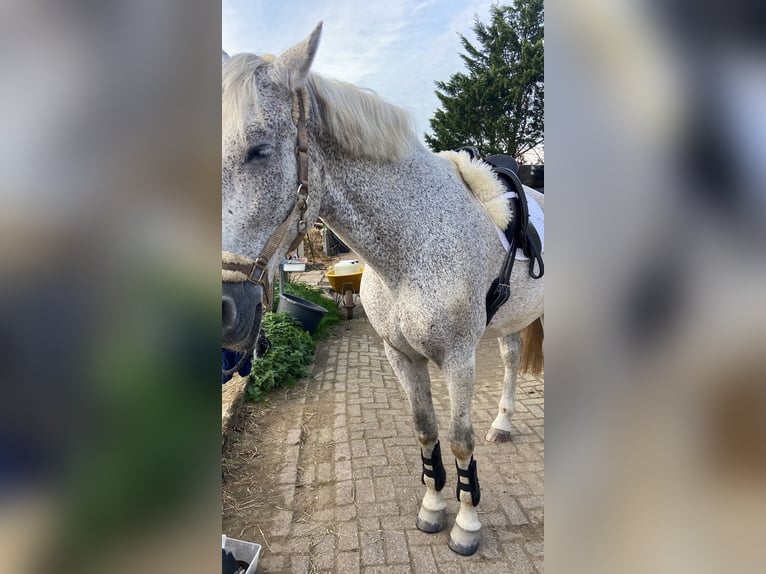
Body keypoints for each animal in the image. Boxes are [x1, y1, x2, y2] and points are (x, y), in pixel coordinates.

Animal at [221, 23, 544, 556]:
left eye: (260, 148)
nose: (225, 309)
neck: (413, 244)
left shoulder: (458, 358)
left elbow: (459, 439)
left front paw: (466, 525)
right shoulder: (400, 355)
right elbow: (425, 431)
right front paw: (432, 509)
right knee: (514, 357)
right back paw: (503, 423)